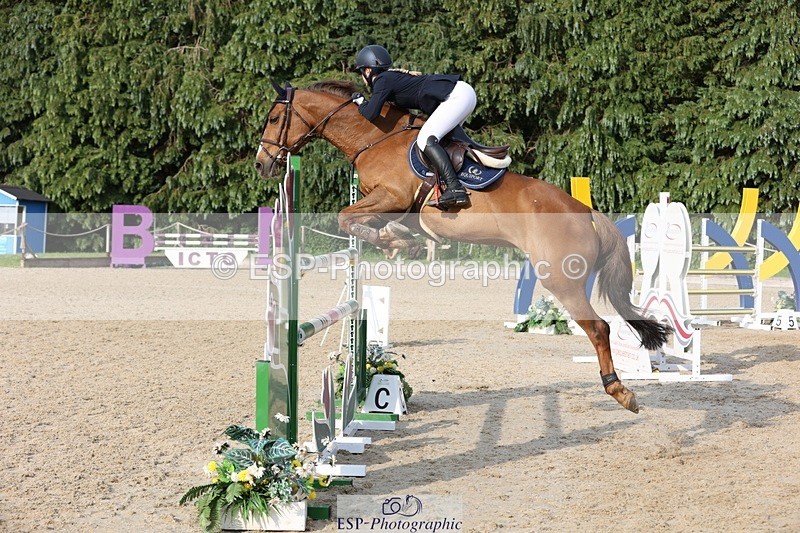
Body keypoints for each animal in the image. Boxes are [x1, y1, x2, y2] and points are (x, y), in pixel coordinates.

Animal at [254, 79, 670, 414]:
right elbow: (363, 222)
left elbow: (345, 217)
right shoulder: (391, 205)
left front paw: (397, 243)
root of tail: (586, 212)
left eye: (273, 119)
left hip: (561, 280)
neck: (374, 137)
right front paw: (400, 242)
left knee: (598, 328)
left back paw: (620, 391)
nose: (261, 165)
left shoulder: (392, 196)